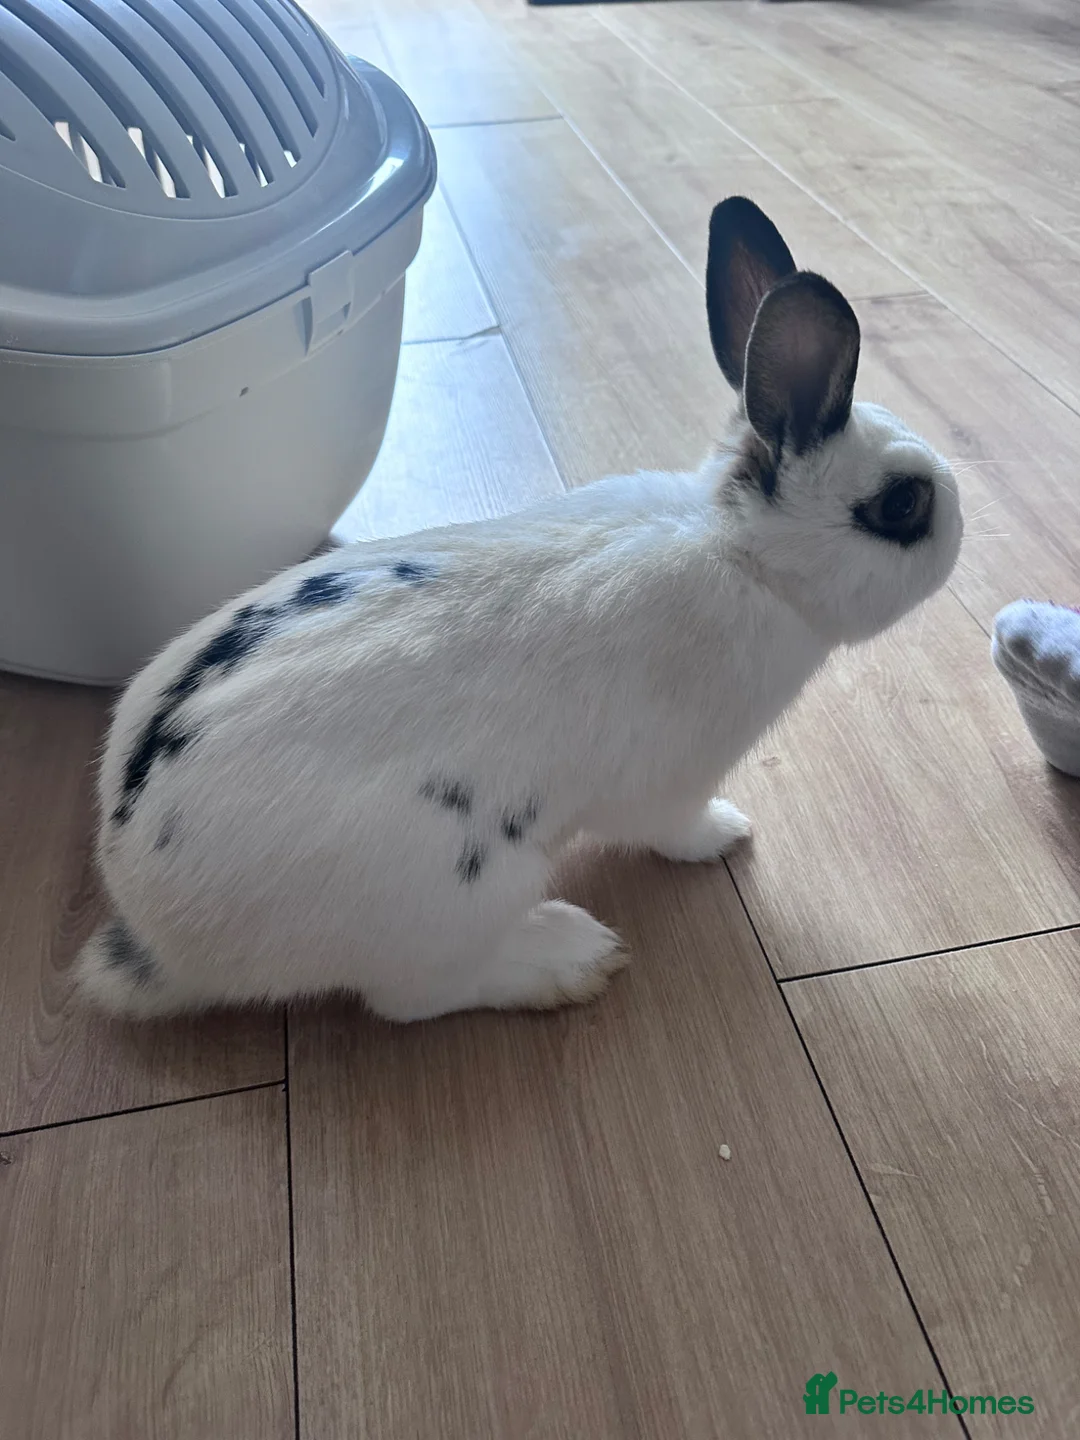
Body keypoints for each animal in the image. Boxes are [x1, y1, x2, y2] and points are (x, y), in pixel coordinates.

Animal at [76, 196, 962, 1023]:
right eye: (903, 504)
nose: (959, 530)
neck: (746, 553)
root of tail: (157, 940)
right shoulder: (674, 777)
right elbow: (675, 825)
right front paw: (728, 833)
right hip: (458, 892)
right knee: (412, 998)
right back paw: (571, 957)